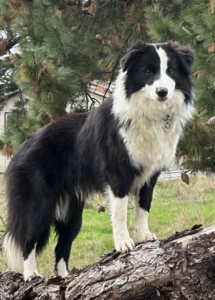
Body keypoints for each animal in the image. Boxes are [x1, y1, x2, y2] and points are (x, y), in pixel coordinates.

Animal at [2, 41, 195, 280]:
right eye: (148, 71)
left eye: (171, 70)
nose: (162, 92)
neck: (150, 112)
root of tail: (20, 149)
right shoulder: (118, 175)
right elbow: (120, 213)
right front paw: (124, 243)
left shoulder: (150, 176)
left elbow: (143, 208)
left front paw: (144, 236)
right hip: (39, 204)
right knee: (29, 240)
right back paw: (31, 275)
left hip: (72, 213)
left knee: (62, 247)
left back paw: (65, 279)